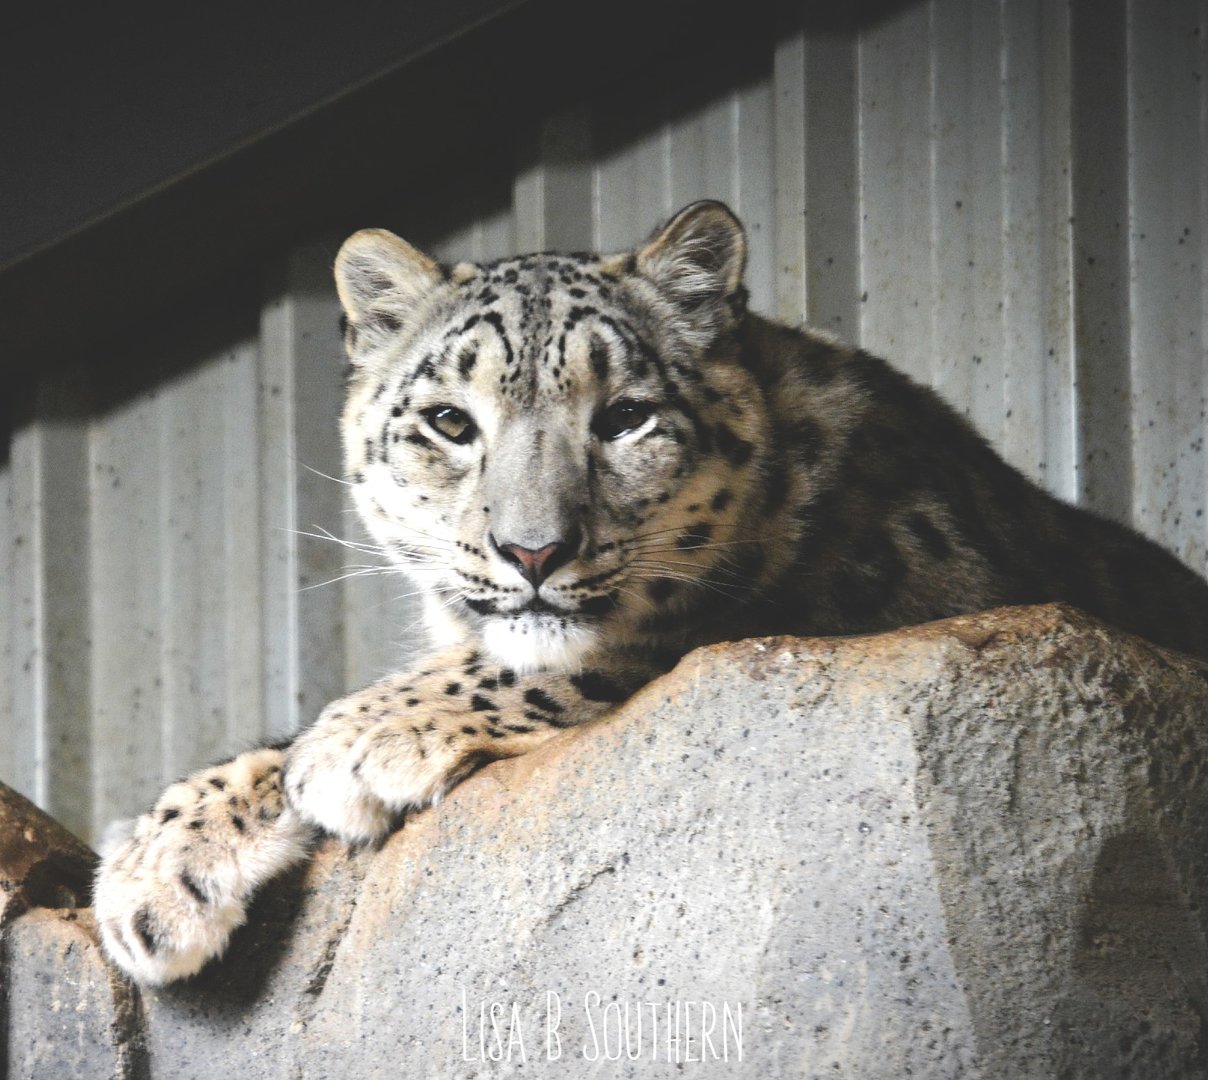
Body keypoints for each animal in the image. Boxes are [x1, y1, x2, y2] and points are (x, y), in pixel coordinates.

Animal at [94, 200, 1208, 985]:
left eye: (625, 415)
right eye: (450, 423)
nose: (533, 550)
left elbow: (601, 652)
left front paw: (355, 743)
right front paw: (155, 868)